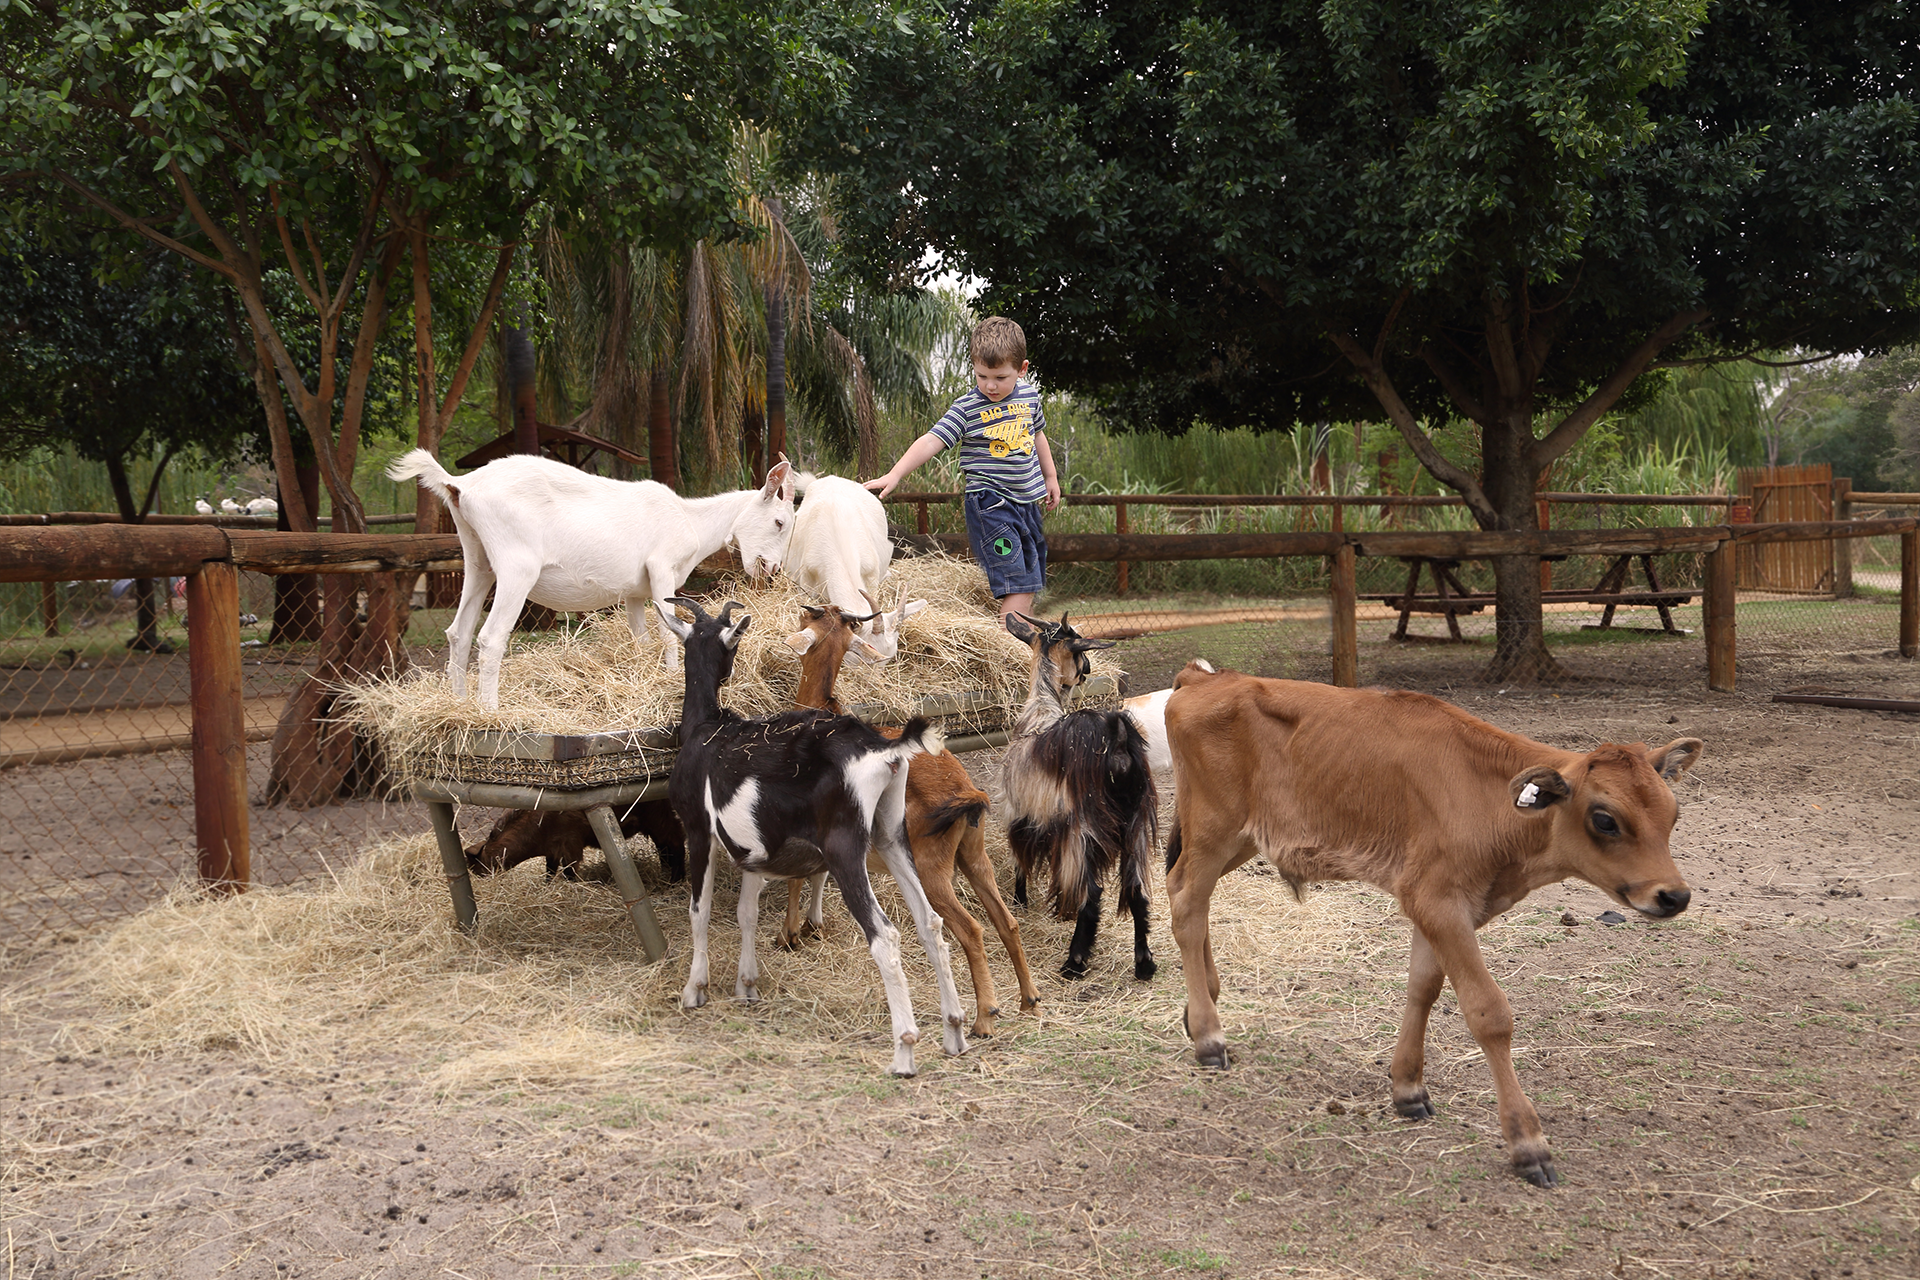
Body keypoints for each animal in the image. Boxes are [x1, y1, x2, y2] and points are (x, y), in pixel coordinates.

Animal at [385, 449, 791, 710]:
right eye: (779, 521)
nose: (771, 569)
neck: (691, 520)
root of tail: (459, 484)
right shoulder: (662, 569)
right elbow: (669, 633)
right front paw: (673, 678)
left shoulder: (635, 592)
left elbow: (641, 639)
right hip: (516, 567)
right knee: (490, 637)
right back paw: (490, 711)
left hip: (477, 560)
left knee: (459, 632)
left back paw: (459, 705)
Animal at [660, 594, 967, 1074]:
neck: (705, 726)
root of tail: (885, 749)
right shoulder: (752, 851)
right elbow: (746, 913)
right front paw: (747, 985)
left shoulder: (698, 830)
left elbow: (700, 910)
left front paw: (696, 989)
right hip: (890, 835)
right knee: (931, 922)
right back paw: (954, 1031)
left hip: (845, 848)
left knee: (885, 936)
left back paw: (904, 1050)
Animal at [779, 606, 1044, 1036]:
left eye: (810, 617)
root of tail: (965, 791)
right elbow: (817, 874)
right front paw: (809, 927)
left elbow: (796, 877)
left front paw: (789, 934)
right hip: (973, 856)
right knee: (1007, 922)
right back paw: (1030, 1001)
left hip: (931, 867)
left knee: (971, 929)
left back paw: (984, 1016)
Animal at [1159, 667, 1704, 1189]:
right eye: (1605, 820)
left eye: (1673, 814)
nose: (1673, 895)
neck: (1488, 799)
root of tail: (1204, 678)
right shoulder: (1439, 902)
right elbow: (1489, 1013)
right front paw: (1528, 1144)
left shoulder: (1435, 906)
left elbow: (1423, 986)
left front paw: (1407, 1088)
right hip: (1214, 828)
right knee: (1186, 903)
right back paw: (1209, 1036)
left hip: (1243, 838)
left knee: (1187, 893)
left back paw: (1201, 1004)